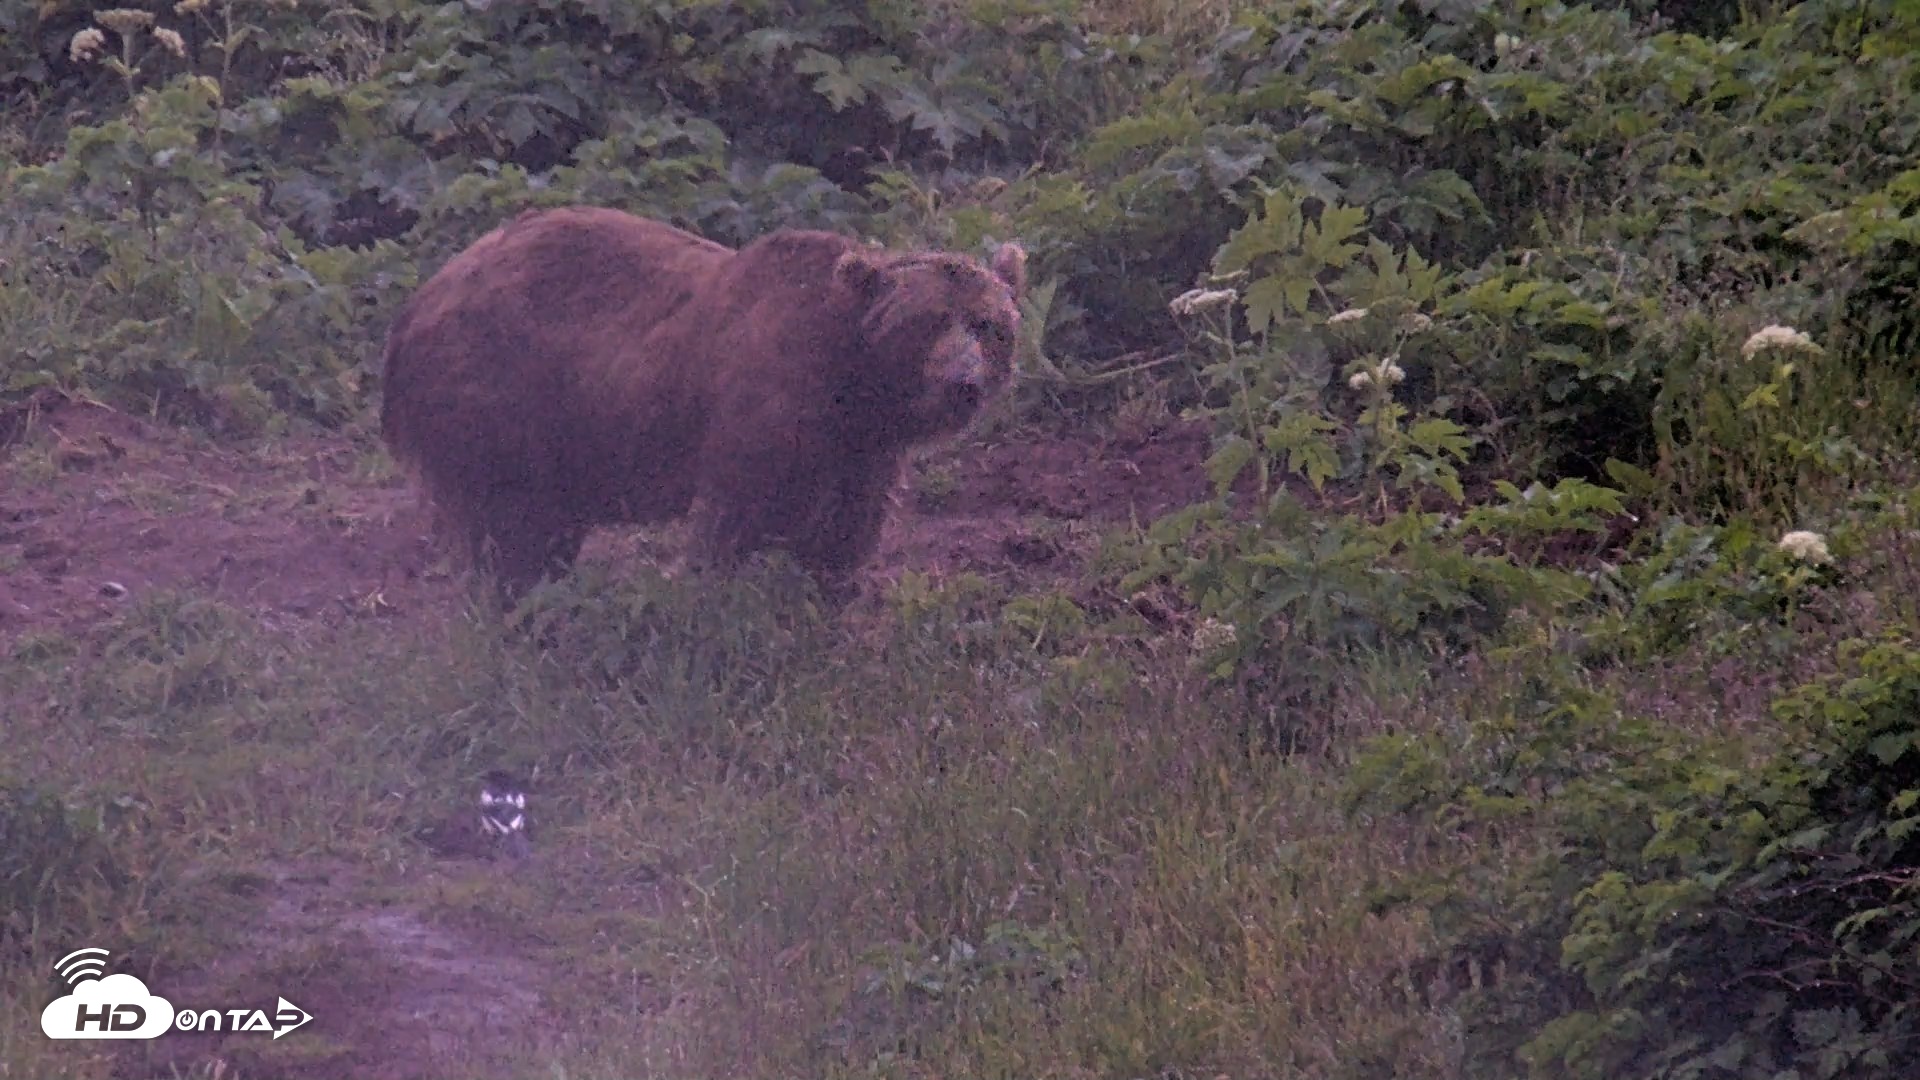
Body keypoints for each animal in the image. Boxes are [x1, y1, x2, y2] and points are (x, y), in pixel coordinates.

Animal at [379, 205, 1028, 605]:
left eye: (988, 325)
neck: (853, 376)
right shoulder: (765, 408)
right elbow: (736, 519)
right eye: (928, 322)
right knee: (513, 524)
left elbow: (845, 531)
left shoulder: (861, 450)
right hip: (499, 390)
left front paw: (831, 596)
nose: (963, 383)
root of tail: (414, 306)